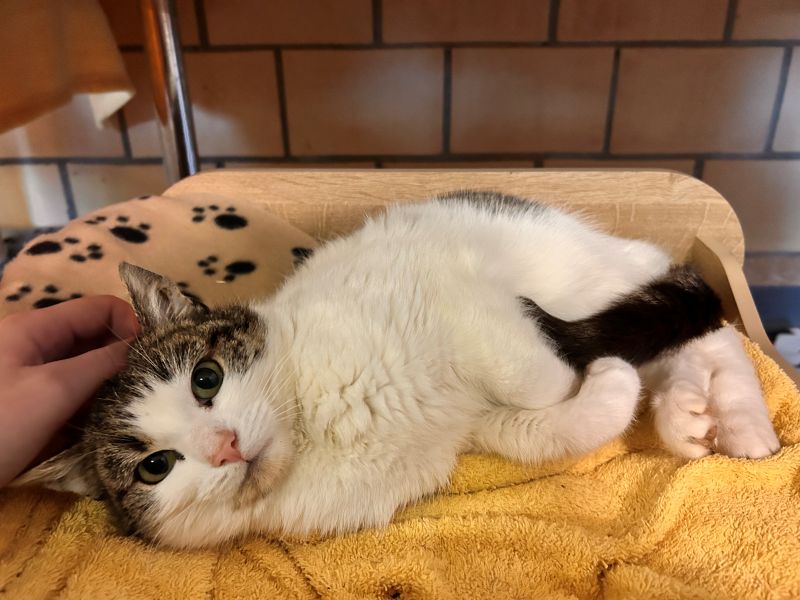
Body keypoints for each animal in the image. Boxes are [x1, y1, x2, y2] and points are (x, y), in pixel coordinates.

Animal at [13, 191, 780, 549]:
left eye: (206, 378)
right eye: (156, 467)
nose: (224, 446)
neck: (318, 430)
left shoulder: (441, 274)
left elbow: (535, 371)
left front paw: (575, 367)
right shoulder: (467, 432)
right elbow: (536, 426)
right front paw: (607, 388)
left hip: (586, 265)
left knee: (700, 318)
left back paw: (740, 421)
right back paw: (683, 412)